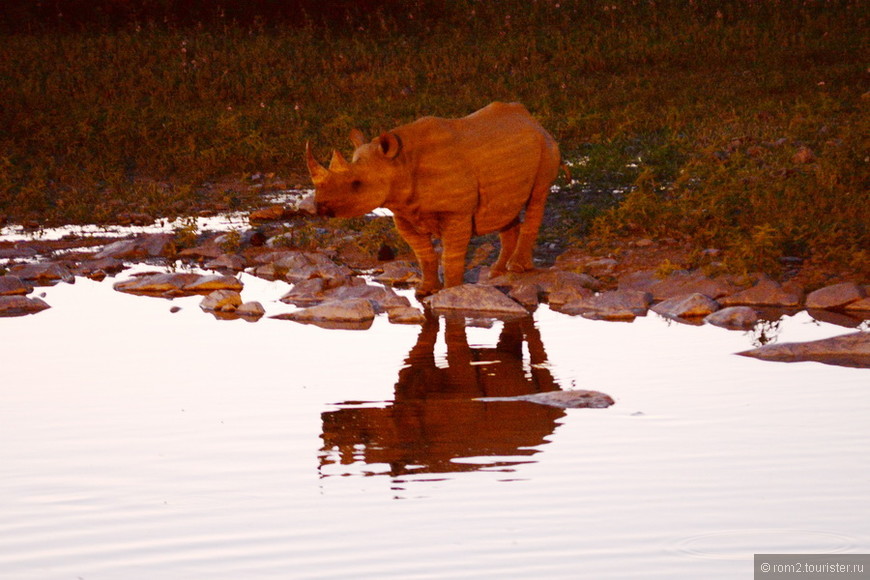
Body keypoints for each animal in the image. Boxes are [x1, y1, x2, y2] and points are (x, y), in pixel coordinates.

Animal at [306, 100, 564, 296]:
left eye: (356, 184)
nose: (320, 207)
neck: (398, 164)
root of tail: (532, 119)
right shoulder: (403, 211)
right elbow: (424, 255)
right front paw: (425, 291)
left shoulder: (455, 212)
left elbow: (450, 256)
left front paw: (452, 291)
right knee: (503, 208)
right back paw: (497, 272)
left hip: (547, 147)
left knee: (537, 197)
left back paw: (517, 268)